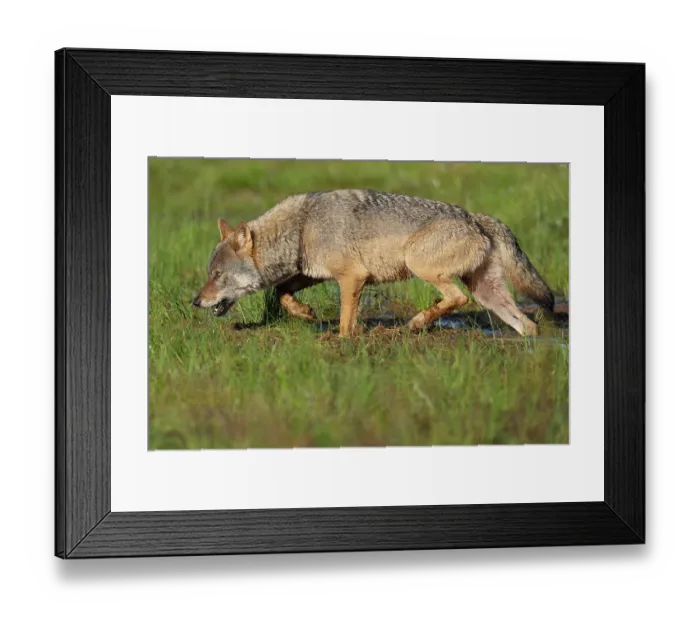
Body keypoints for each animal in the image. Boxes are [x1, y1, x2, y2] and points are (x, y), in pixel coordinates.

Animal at [192, 190, 555, 337]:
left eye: (217, 275)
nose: (195, 301)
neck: (302, 226)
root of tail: (476, 218)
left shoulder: (352, 278)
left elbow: (343, 323)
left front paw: (340, 343)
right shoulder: (313, 273)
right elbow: (281, 291)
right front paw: (304, 313)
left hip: (421, 265)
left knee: (456, 299)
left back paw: (416, 323)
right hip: (487, 294)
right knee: (528, 326)